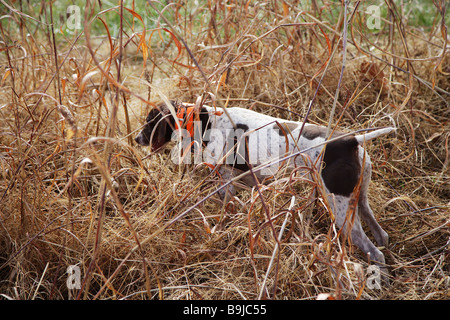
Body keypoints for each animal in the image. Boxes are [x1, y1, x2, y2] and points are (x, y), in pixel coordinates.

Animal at [135, 102, 396, 268]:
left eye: (149, 121)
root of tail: (351, 140)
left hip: (340, 209)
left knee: (374, 252)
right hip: (359, 200)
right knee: (381, 237)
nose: (136, 138)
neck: (206, 121)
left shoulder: (225, 184)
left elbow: (224, 214)